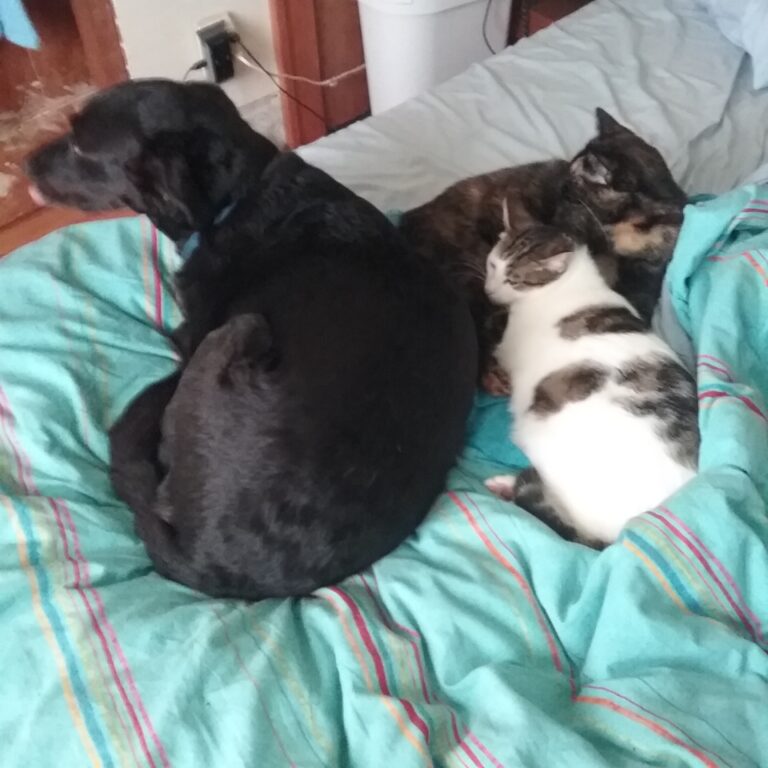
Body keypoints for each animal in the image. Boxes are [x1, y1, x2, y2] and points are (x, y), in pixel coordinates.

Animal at [26, 80, 478, 599]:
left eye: (80, 146)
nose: (23, 166)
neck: (235, 201)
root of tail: (213, 566)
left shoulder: (196, 336)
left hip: (239, 331)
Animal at [399, 108, 686, 384]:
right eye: (565, 175)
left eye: (573, 184)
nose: (559, 186)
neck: (626, 229)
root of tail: (407, 220)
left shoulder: (646, 277)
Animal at [482, 225, 698, 546]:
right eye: (492, 265)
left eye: (514, 279)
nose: (489, 290)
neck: (571, 282)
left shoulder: (506, 349)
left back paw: (507, 485)